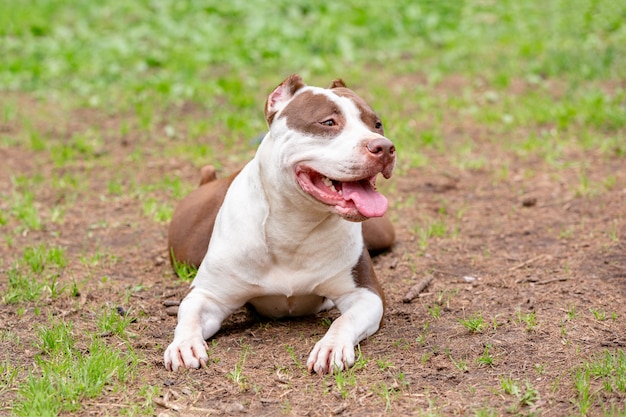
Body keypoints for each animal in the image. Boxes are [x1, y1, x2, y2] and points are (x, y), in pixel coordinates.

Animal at [162, 75, 394, 374]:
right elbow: (188, 315)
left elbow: (344, 320)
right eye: (328, 122)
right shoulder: (208, 295)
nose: (384, 147)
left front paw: (331, 346)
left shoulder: (366, 295)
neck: (295, 224)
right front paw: (184, 345)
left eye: (377, 124)